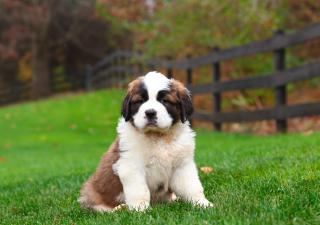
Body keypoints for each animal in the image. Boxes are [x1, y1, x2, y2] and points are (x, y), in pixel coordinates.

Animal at [78, 71, 212, 211]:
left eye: (164, 101)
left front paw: (202, 203)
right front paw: (140, 209)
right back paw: (117, 208)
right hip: (91, 191)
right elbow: (139, 190)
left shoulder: (182, 165)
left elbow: (191, 187)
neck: (158, 137)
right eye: (140, 101)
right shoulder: (131, 166)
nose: (150, 113)